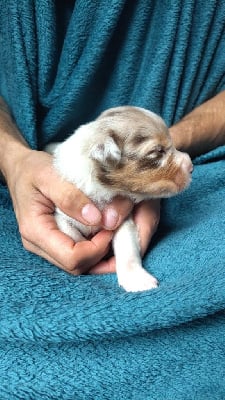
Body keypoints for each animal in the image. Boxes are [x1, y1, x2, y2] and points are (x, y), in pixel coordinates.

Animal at [45, 106, 192, 292]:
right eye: (158, 151)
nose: (191, 166)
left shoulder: (122, 219)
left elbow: (127, 246)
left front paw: (137, 279)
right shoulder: (62, 215)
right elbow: (71, 234)